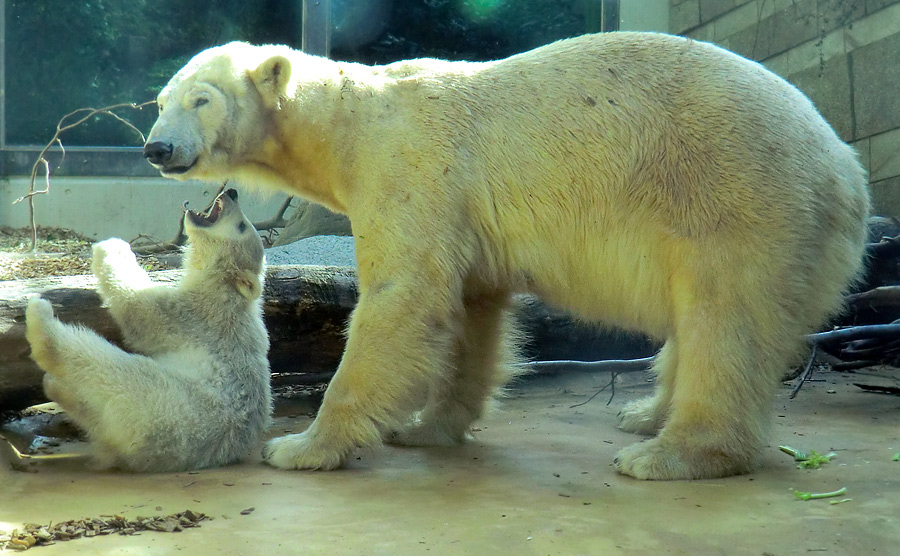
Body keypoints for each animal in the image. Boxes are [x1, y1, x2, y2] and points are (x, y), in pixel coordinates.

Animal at [144, 32, 868, 480]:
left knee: (725, 318)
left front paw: (303, 447)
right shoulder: (462, 212)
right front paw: (428, 426)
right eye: (161, 101)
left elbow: (404, 294)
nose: (157, 147)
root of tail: (846, 170)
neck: (350, 124)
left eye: (201, 99)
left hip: (736, 195)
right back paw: (645, 414)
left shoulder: (409, 166)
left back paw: (672, 455)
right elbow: (471, 308)